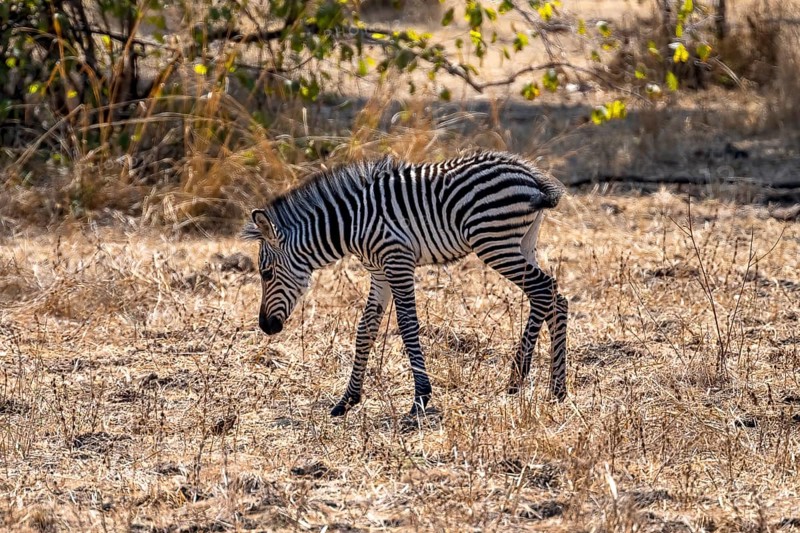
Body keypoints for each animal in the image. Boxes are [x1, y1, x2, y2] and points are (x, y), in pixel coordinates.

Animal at [243, 150, 569, 418]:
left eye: (266, 274)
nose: (265, 327)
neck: (351, 224)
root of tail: (531, 176)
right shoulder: (379, 272)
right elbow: (365, 329)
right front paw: (347, 400)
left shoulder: (397, 261)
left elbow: (408, 325)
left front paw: (420, 397)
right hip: (522, 243)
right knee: (552, 298)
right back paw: (547, 387)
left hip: (494, 243)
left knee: (546, 292)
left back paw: (527, 380)